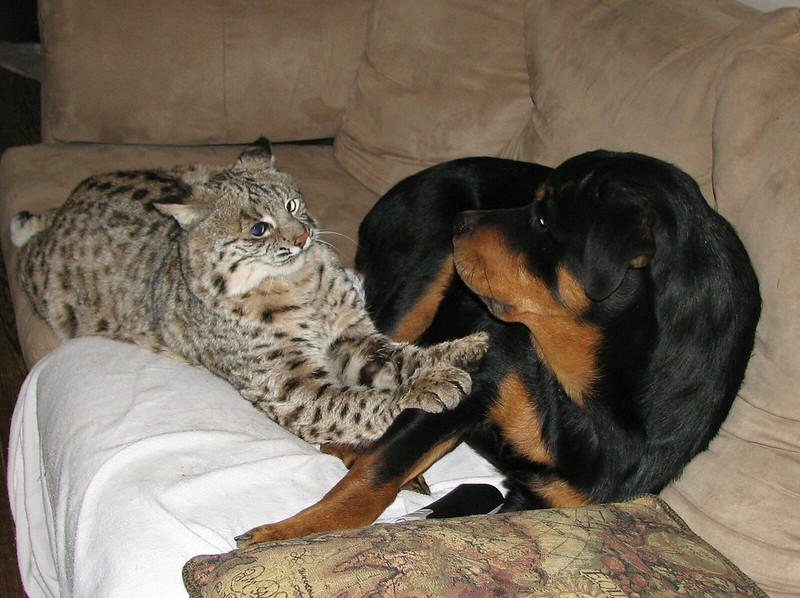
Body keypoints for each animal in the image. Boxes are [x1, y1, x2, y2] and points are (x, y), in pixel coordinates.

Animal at [235, 150, 760, 546]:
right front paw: (289, 534)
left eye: (544, 217)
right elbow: (371, 481)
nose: (461, 221)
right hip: (425, 270)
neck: (581, 389)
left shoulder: (549, 499)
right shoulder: (474, 379)